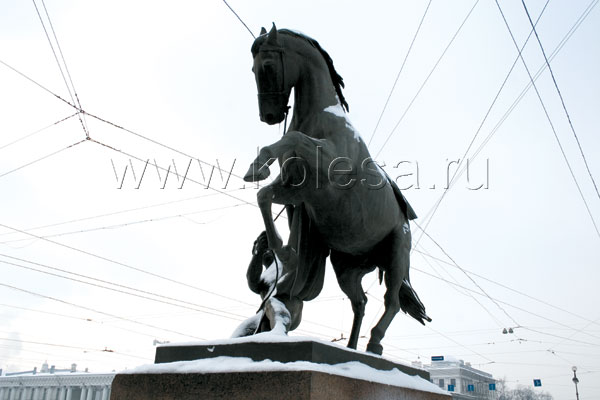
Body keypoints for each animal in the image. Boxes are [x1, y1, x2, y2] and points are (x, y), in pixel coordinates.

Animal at [244, 24, 432, 356]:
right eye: (252, 69)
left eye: (267, 65)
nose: (269, 117)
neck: (321, 118)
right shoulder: (298, 193)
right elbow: (263, 194)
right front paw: (284, 249)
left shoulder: (326, 171)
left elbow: (292, 137)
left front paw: (259, 163)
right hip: (347, 268)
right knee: (361, 302)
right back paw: (352, 346)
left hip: (396, 255)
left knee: (392, 301)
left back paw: (374, 344)